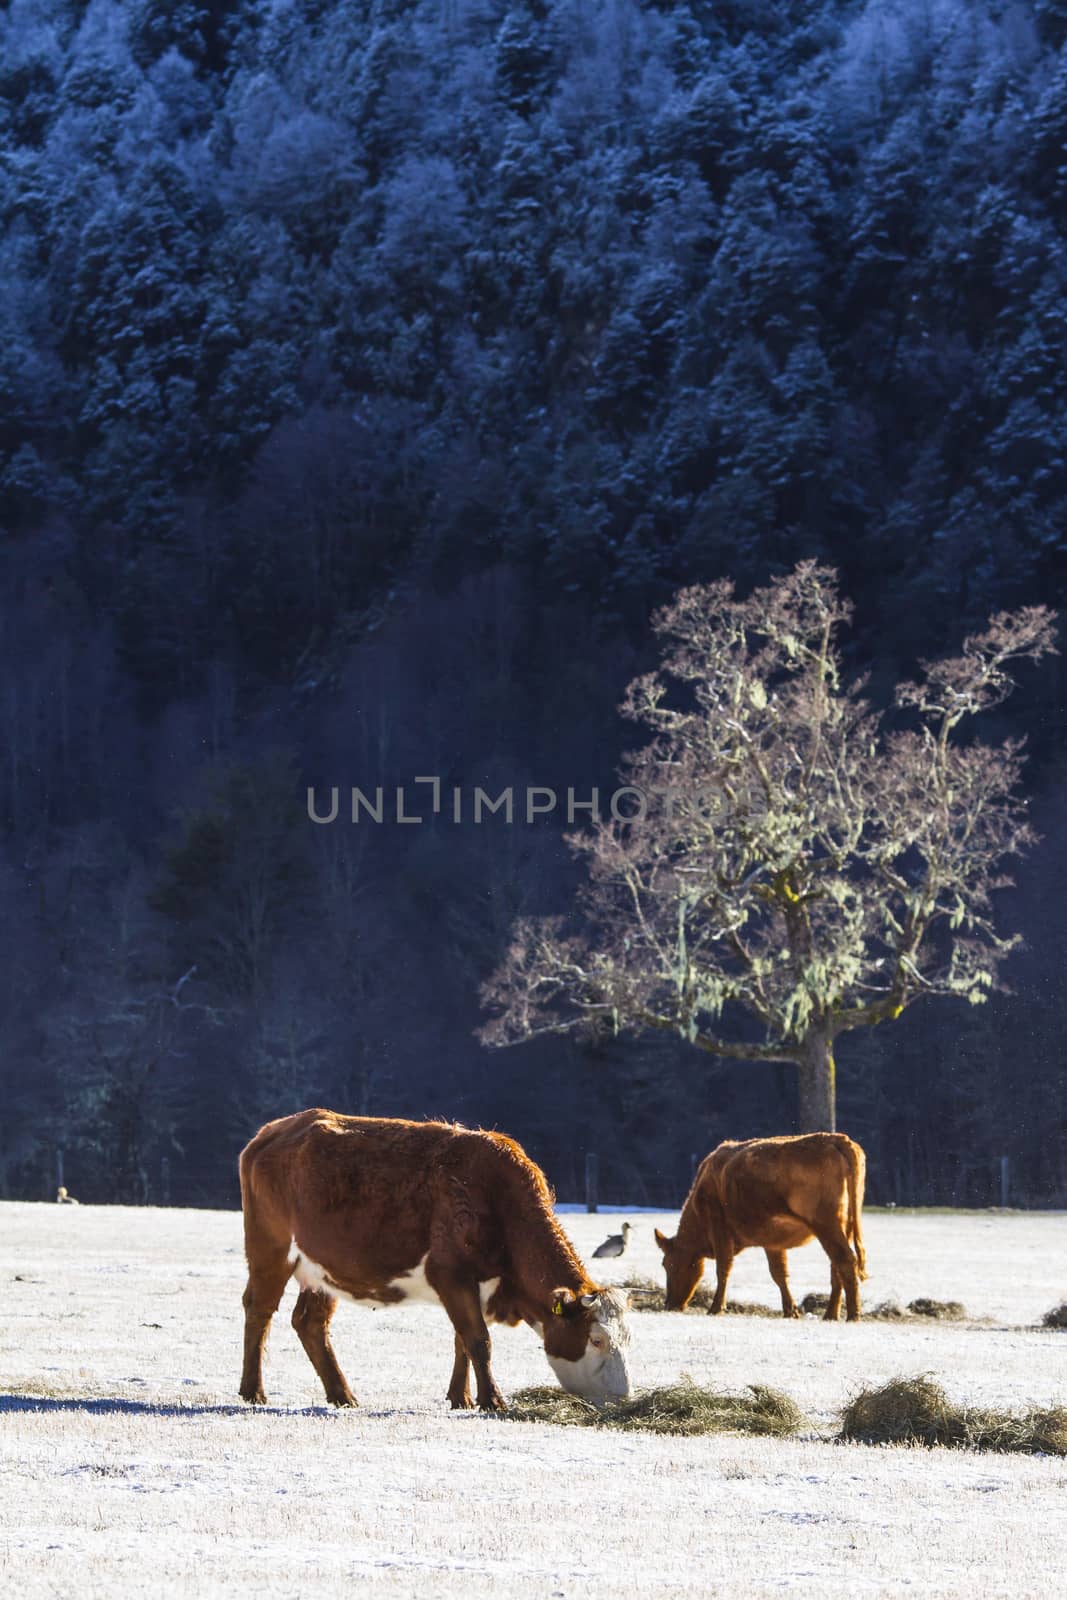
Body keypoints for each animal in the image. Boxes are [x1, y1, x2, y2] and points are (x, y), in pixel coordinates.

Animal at [238, 1113, 630, 1414]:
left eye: (627, 1338)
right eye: (596, 1339)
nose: (622, 1396)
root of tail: (274, 1130)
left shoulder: (476, 1287)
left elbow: (462, 1341)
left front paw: (462, 1397)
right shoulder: (451, 1274)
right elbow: (478, 1340)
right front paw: (492, 1400)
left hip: (323, 1269)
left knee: (310, 1323)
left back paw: (342, 1394)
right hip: (271, 1250)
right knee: (259, 1310)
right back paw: (253, 1390)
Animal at [652, 1132, 870, 1318]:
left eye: (667, 1264)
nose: (669, 1304)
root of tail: (836, 1138)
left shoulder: (719, 1228)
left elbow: (723, 1268)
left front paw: (715, 1308)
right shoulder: (772, 1241)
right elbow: (779, 1273)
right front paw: (790, 1311)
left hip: (826, 1225)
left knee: (845, 1260)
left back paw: (852, 1315)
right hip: (844, 1225)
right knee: (836, 1267)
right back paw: (831, 1315)